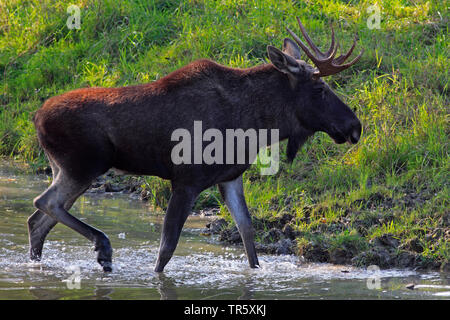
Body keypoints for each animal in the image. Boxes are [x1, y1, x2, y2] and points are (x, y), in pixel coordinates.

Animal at [29, 18, 362, 272]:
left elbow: (248, 234)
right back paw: (103, 248)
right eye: (319, 89)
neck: (256, 124)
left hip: (67, 169)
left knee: (38, 221)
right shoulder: (186, 181)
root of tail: (36, 117)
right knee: (45, 203)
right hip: (84, 165)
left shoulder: (230, 177)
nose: (355, 127)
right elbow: (166, 248)